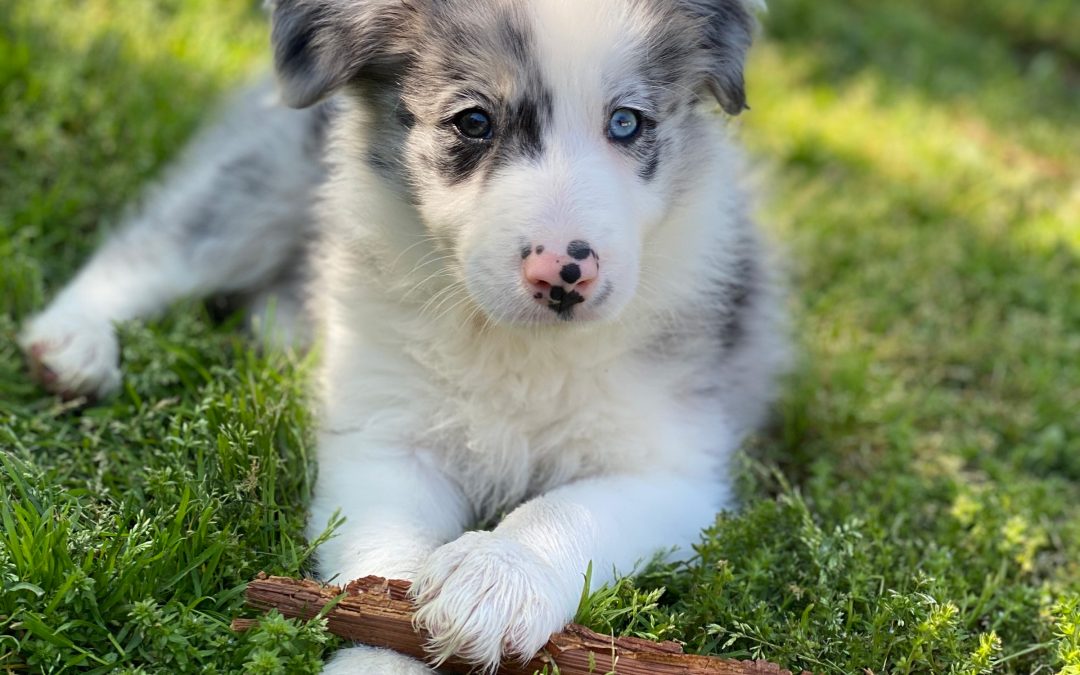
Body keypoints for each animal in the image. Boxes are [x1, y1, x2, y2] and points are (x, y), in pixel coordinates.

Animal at [21, 1, 790, 669]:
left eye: (627, 122)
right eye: (473, 121)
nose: (564, 274)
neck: (514, 343)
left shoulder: (674, 473)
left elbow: (566, 508)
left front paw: (498, 573)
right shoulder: (386, 440)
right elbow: (381, 570)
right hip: (261, 184)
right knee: (153, 248)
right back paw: (72, 342)